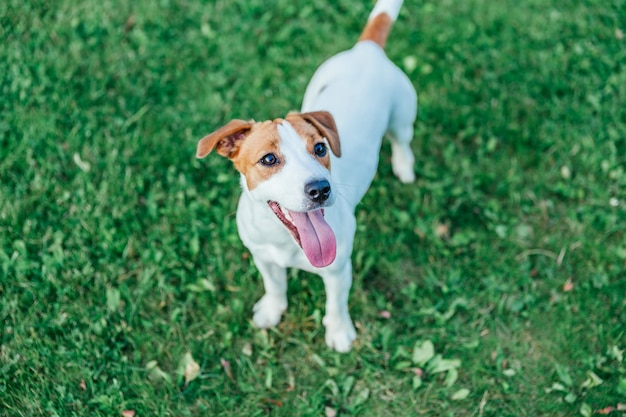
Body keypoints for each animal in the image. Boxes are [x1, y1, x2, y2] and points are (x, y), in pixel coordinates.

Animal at [195, 0, 416, 352]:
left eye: (320, 148)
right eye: (269, 159)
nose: (320, 189)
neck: (285, 240)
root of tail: (367, 49)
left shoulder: (338, 269)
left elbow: (336, 304)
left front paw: (339, 332)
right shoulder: (264, 258)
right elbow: (274, 286)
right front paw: (272, 310)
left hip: (402, 117)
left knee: (401, 140)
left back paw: (404, 165)